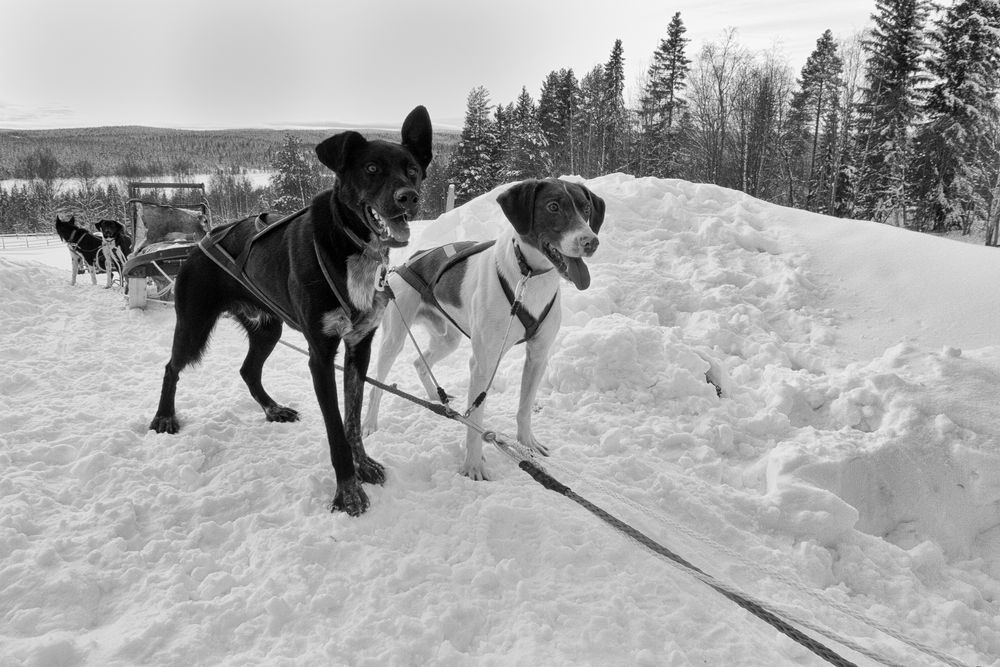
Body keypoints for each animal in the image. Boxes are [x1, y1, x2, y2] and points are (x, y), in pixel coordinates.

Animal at [150, 107, 432, 520]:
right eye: (372, 168)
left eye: (411, 169)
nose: (408, 196)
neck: (348, 246)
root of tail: (199, 243)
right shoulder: (321, 356)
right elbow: (336, 431)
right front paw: (347, 493)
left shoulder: (358, 347)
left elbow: (353, 420)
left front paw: (363, 465)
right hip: (194, 326)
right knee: (171, 366)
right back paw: (164, 417)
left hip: (268, 329)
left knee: (248, 370)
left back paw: (273, 410)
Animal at [366, 177, 604, 480]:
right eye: (553, 206)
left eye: (585, 208)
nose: (591, 241)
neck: (528, 277)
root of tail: (410, 260)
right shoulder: (483, 361)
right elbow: (475, 419)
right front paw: (473, 466)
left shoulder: (538, 355)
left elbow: (524, 408)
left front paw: (527, 444)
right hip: (394, 338)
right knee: (377, 385)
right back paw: (369, 424)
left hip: (448, 339)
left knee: (419, 362)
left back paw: (436, 398)